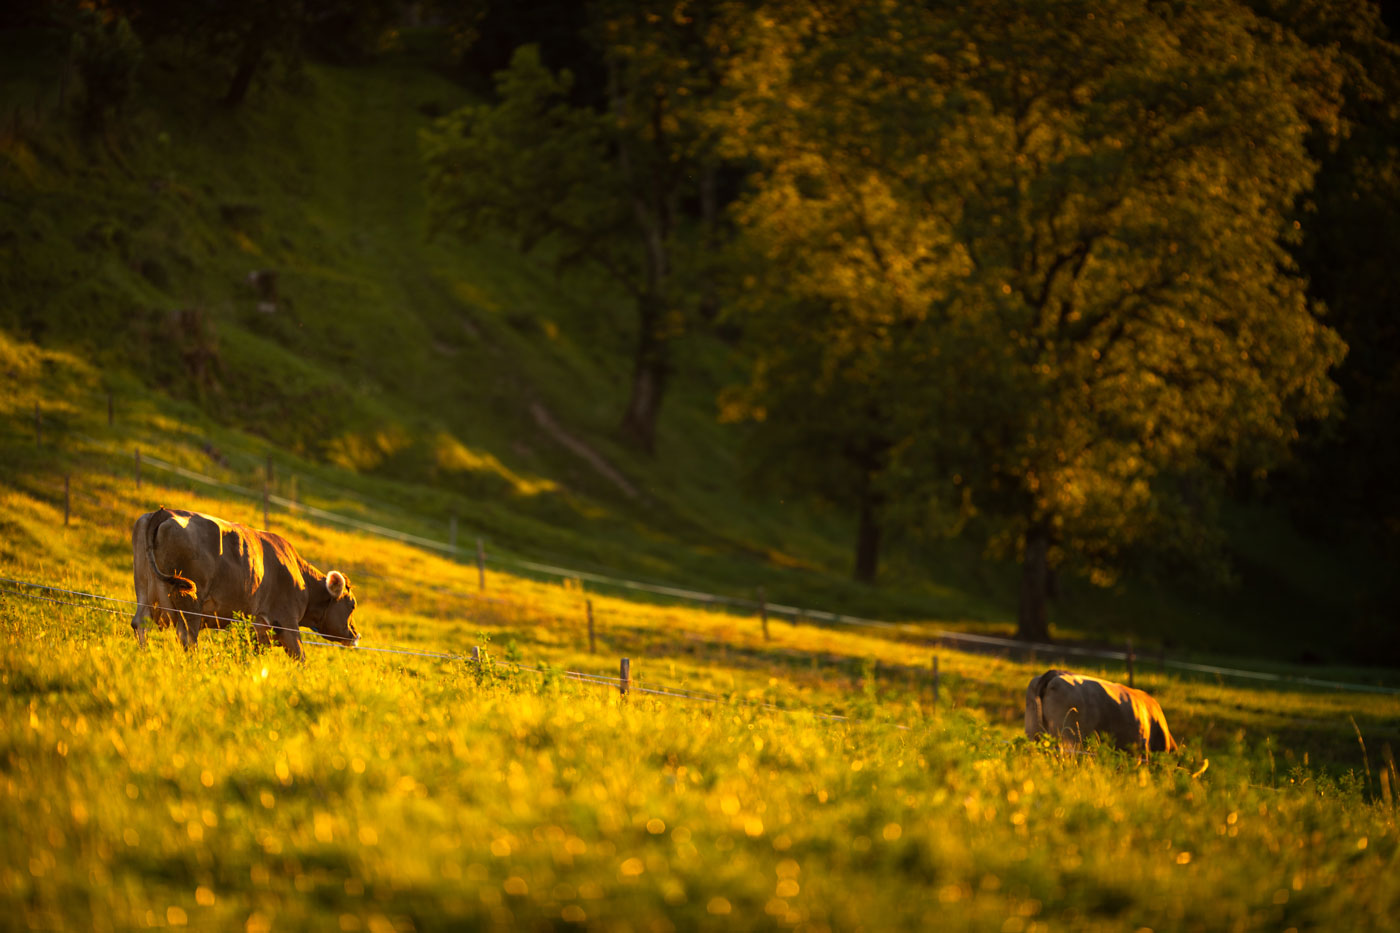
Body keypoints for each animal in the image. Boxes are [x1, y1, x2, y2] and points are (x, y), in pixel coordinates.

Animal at [131, 504, 358, 658]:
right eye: (352, 605)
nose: (356, 634)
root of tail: (165, 512)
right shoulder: (286, 621)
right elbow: (300, 657)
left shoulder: (259, 628)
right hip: (191, 602)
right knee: (187, 636)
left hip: (144, 589)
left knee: (140, 623)